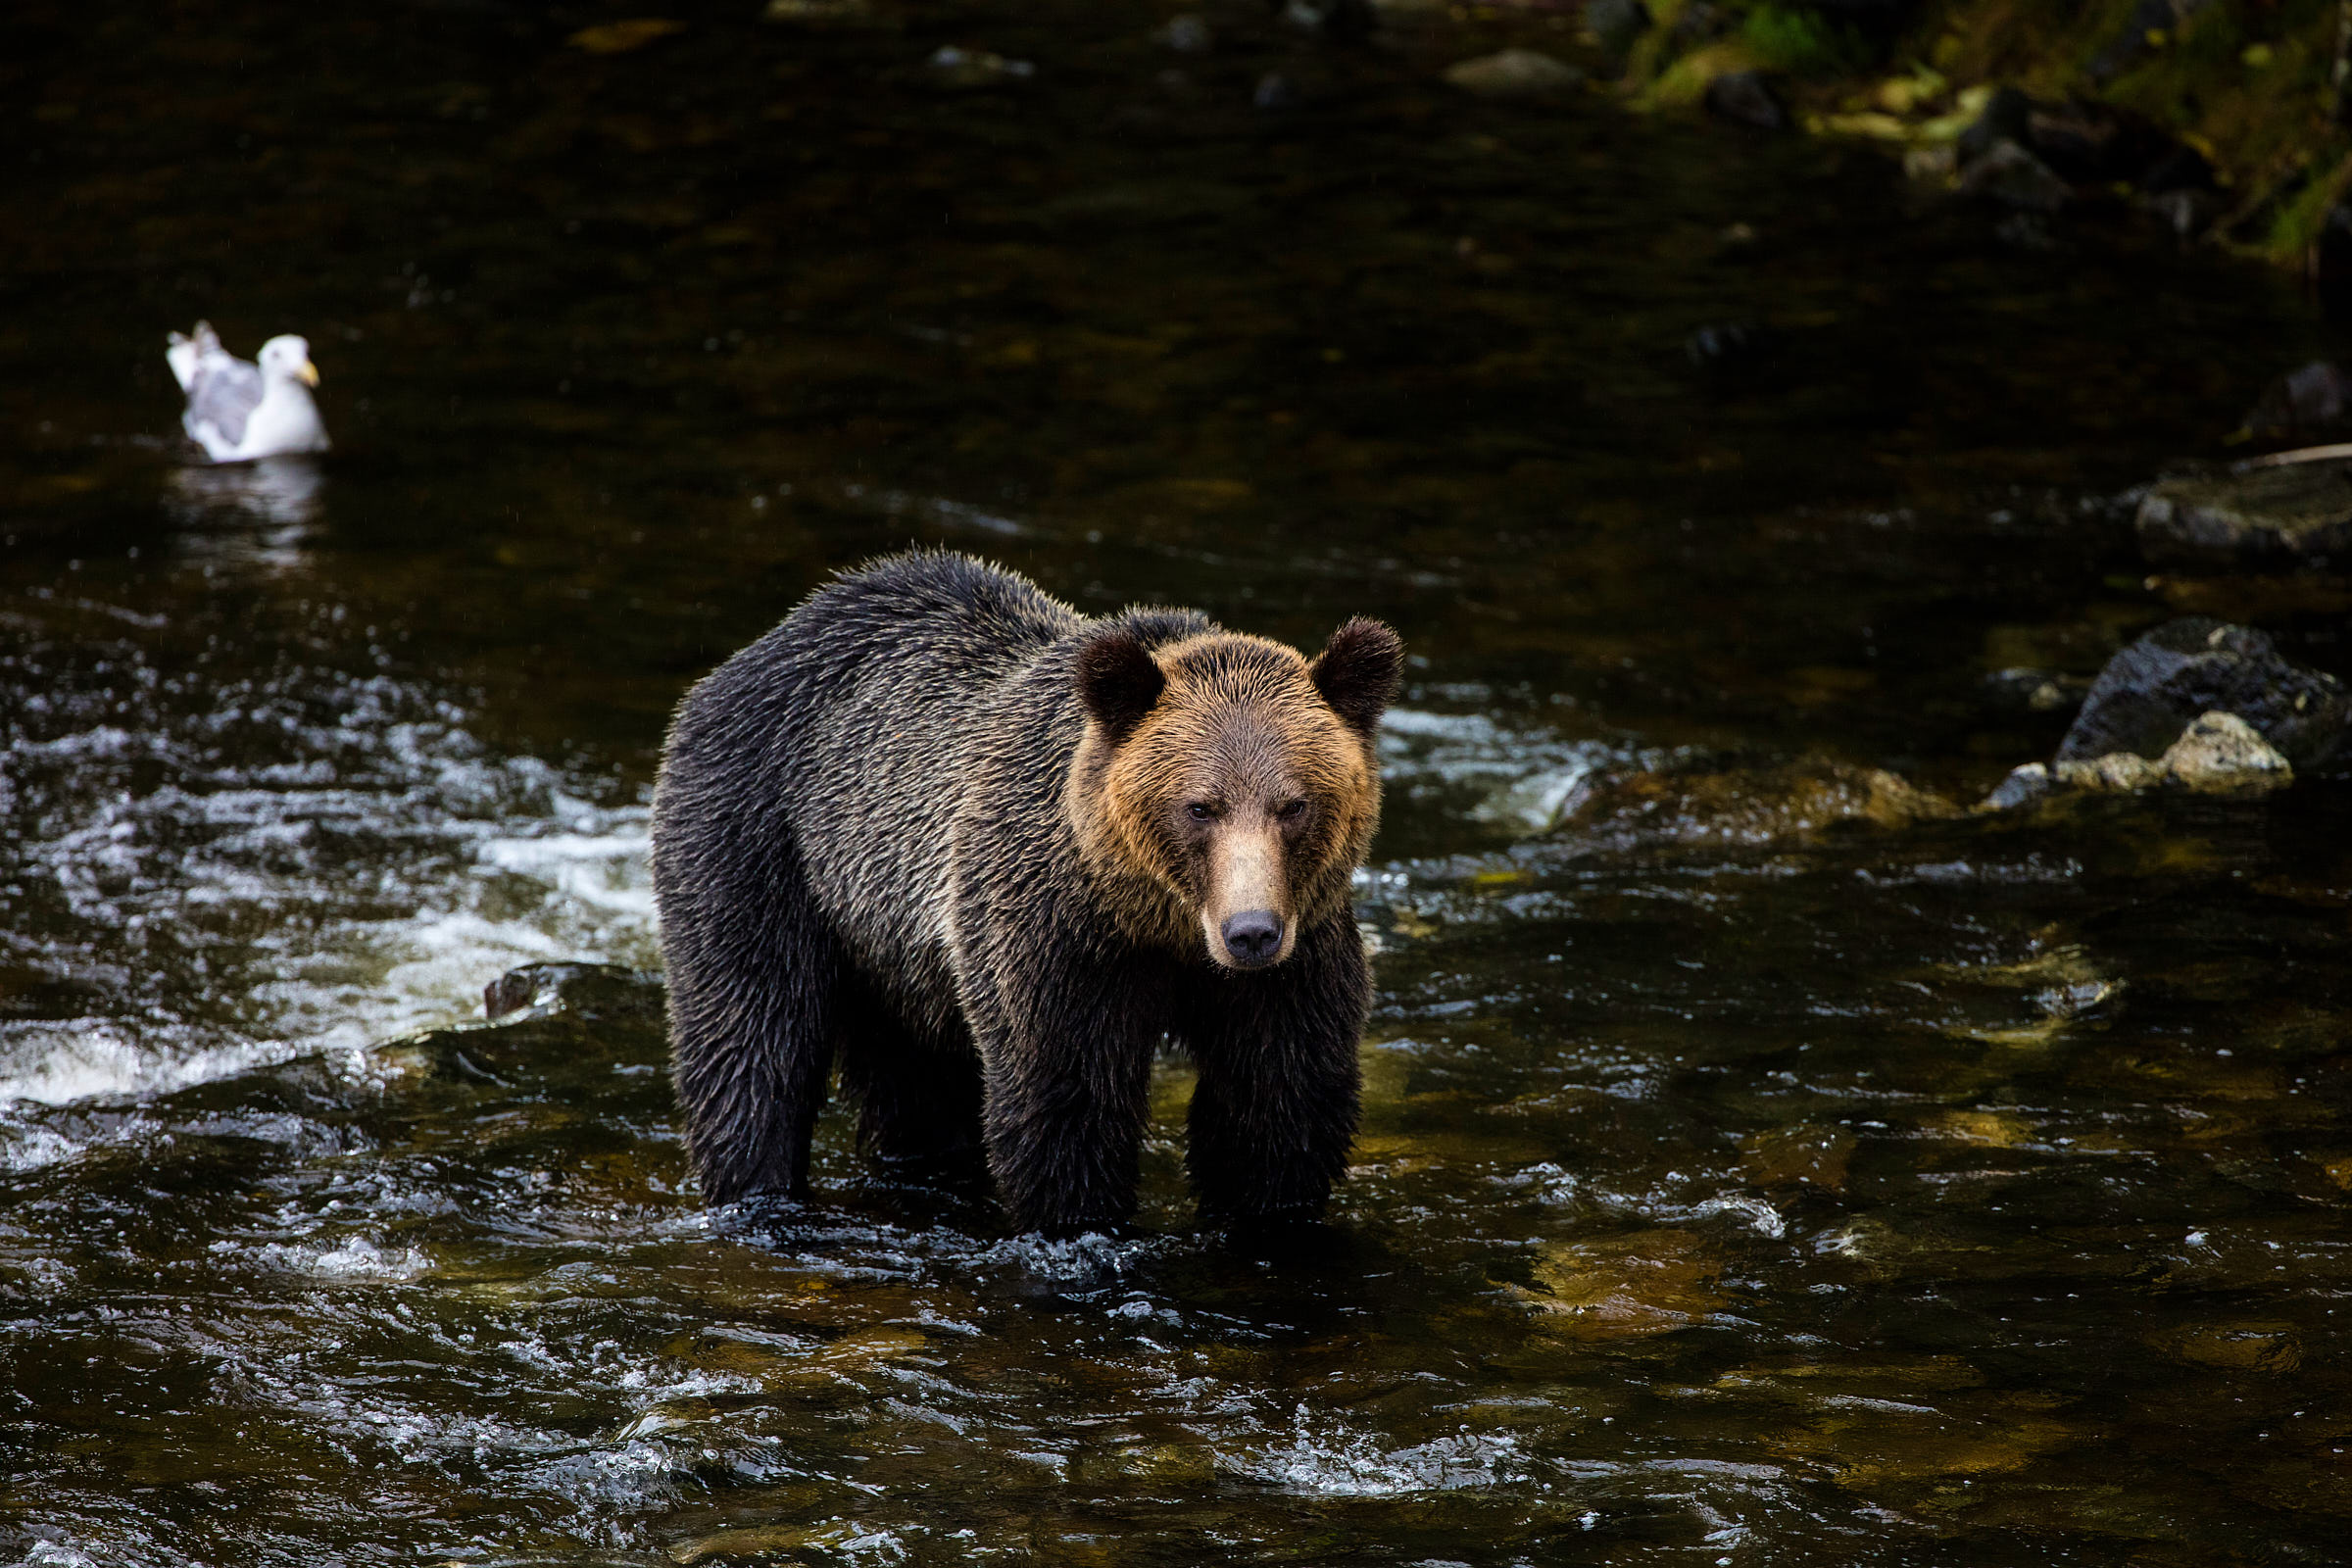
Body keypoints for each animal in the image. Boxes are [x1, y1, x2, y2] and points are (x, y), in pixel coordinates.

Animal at [649, 549, 1403, 1235]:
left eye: (1294, 804)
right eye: (1199, 807)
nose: (1251, 932)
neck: (1160, 924)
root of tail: (775, 636)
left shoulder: (1297, 963)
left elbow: (1279, 1107)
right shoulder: (1053, 936)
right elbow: (1065, 1104)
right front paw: (1082, 1228)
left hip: (895, 957)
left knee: (916, 1087)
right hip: (758, 839)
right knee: (751, 1041)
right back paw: (758, 1194)